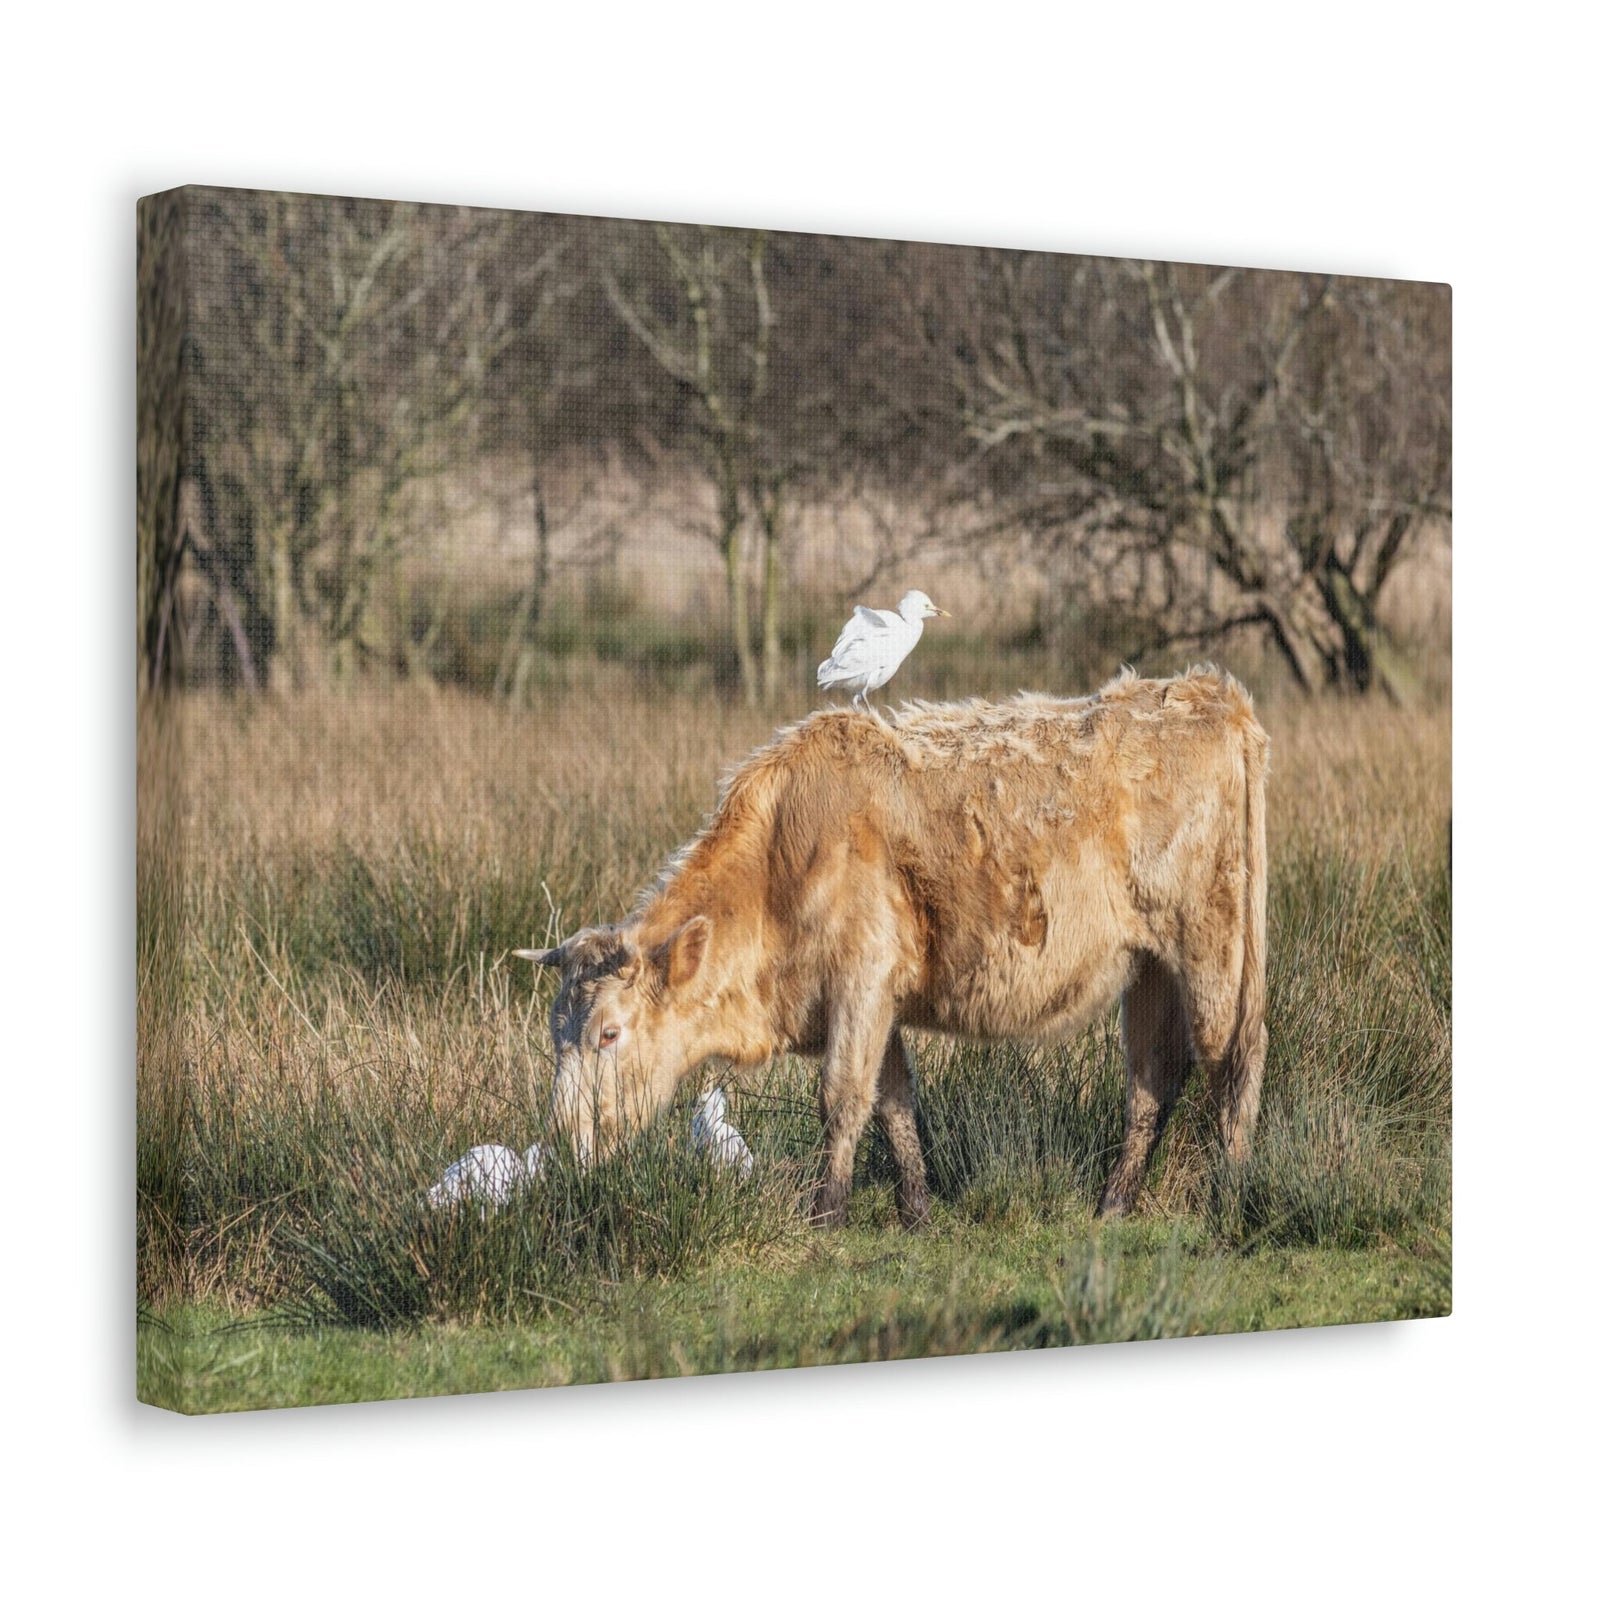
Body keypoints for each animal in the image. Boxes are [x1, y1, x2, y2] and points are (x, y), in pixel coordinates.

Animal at [520, 667, 1268, 1226]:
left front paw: (826, 1213)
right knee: (1151, 1078)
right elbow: (895, 1104)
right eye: (556, 1034)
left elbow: (843, 1097)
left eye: (610, 1033)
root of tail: (1212, 692)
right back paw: (1114, 1202)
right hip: (1150, 966)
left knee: (1233, 1056)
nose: (561, 1142)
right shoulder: (877, 1004)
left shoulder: (862, 982)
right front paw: (916, 1211)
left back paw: (1227, 1189)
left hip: (1214, 945)